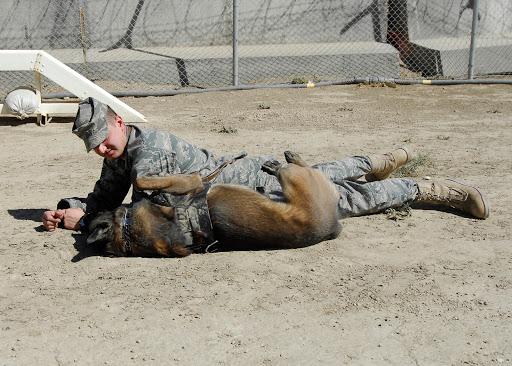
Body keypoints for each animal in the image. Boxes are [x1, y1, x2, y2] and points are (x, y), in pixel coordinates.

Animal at [86, 152, 342, 258]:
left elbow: (140, 179)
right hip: (293, 178)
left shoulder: (191, 181)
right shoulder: (194, 180)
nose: (88, 213)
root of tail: (331, 225)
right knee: (300, 168)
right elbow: (140, 179)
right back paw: (281, 161)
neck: (128, 231)